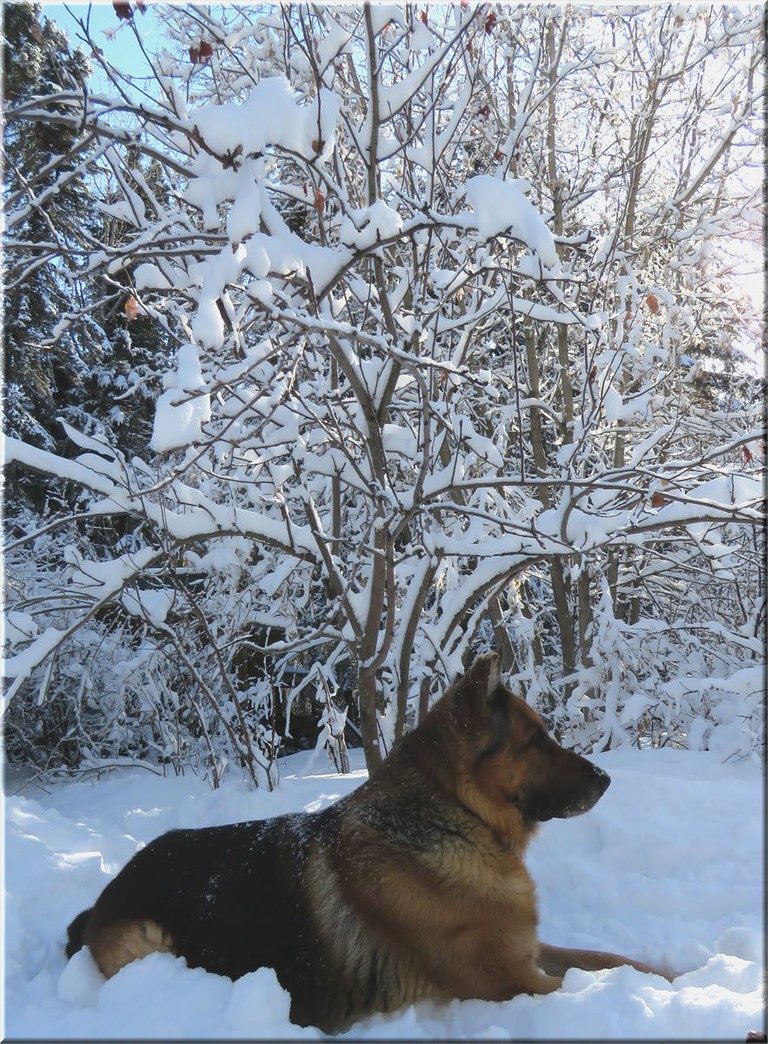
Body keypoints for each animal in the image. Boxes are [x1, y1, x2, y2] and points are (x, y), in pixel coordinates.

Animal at [64, 655, 667, 1031]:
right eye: (537, 740)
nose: (606, 779)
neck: (459, 819)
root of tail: (103, 896)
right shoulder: (508, 978)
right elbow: (578, 984)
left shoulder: (527, 950)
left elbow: (611, 960)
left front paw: (675, 976)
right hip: (150, 939)